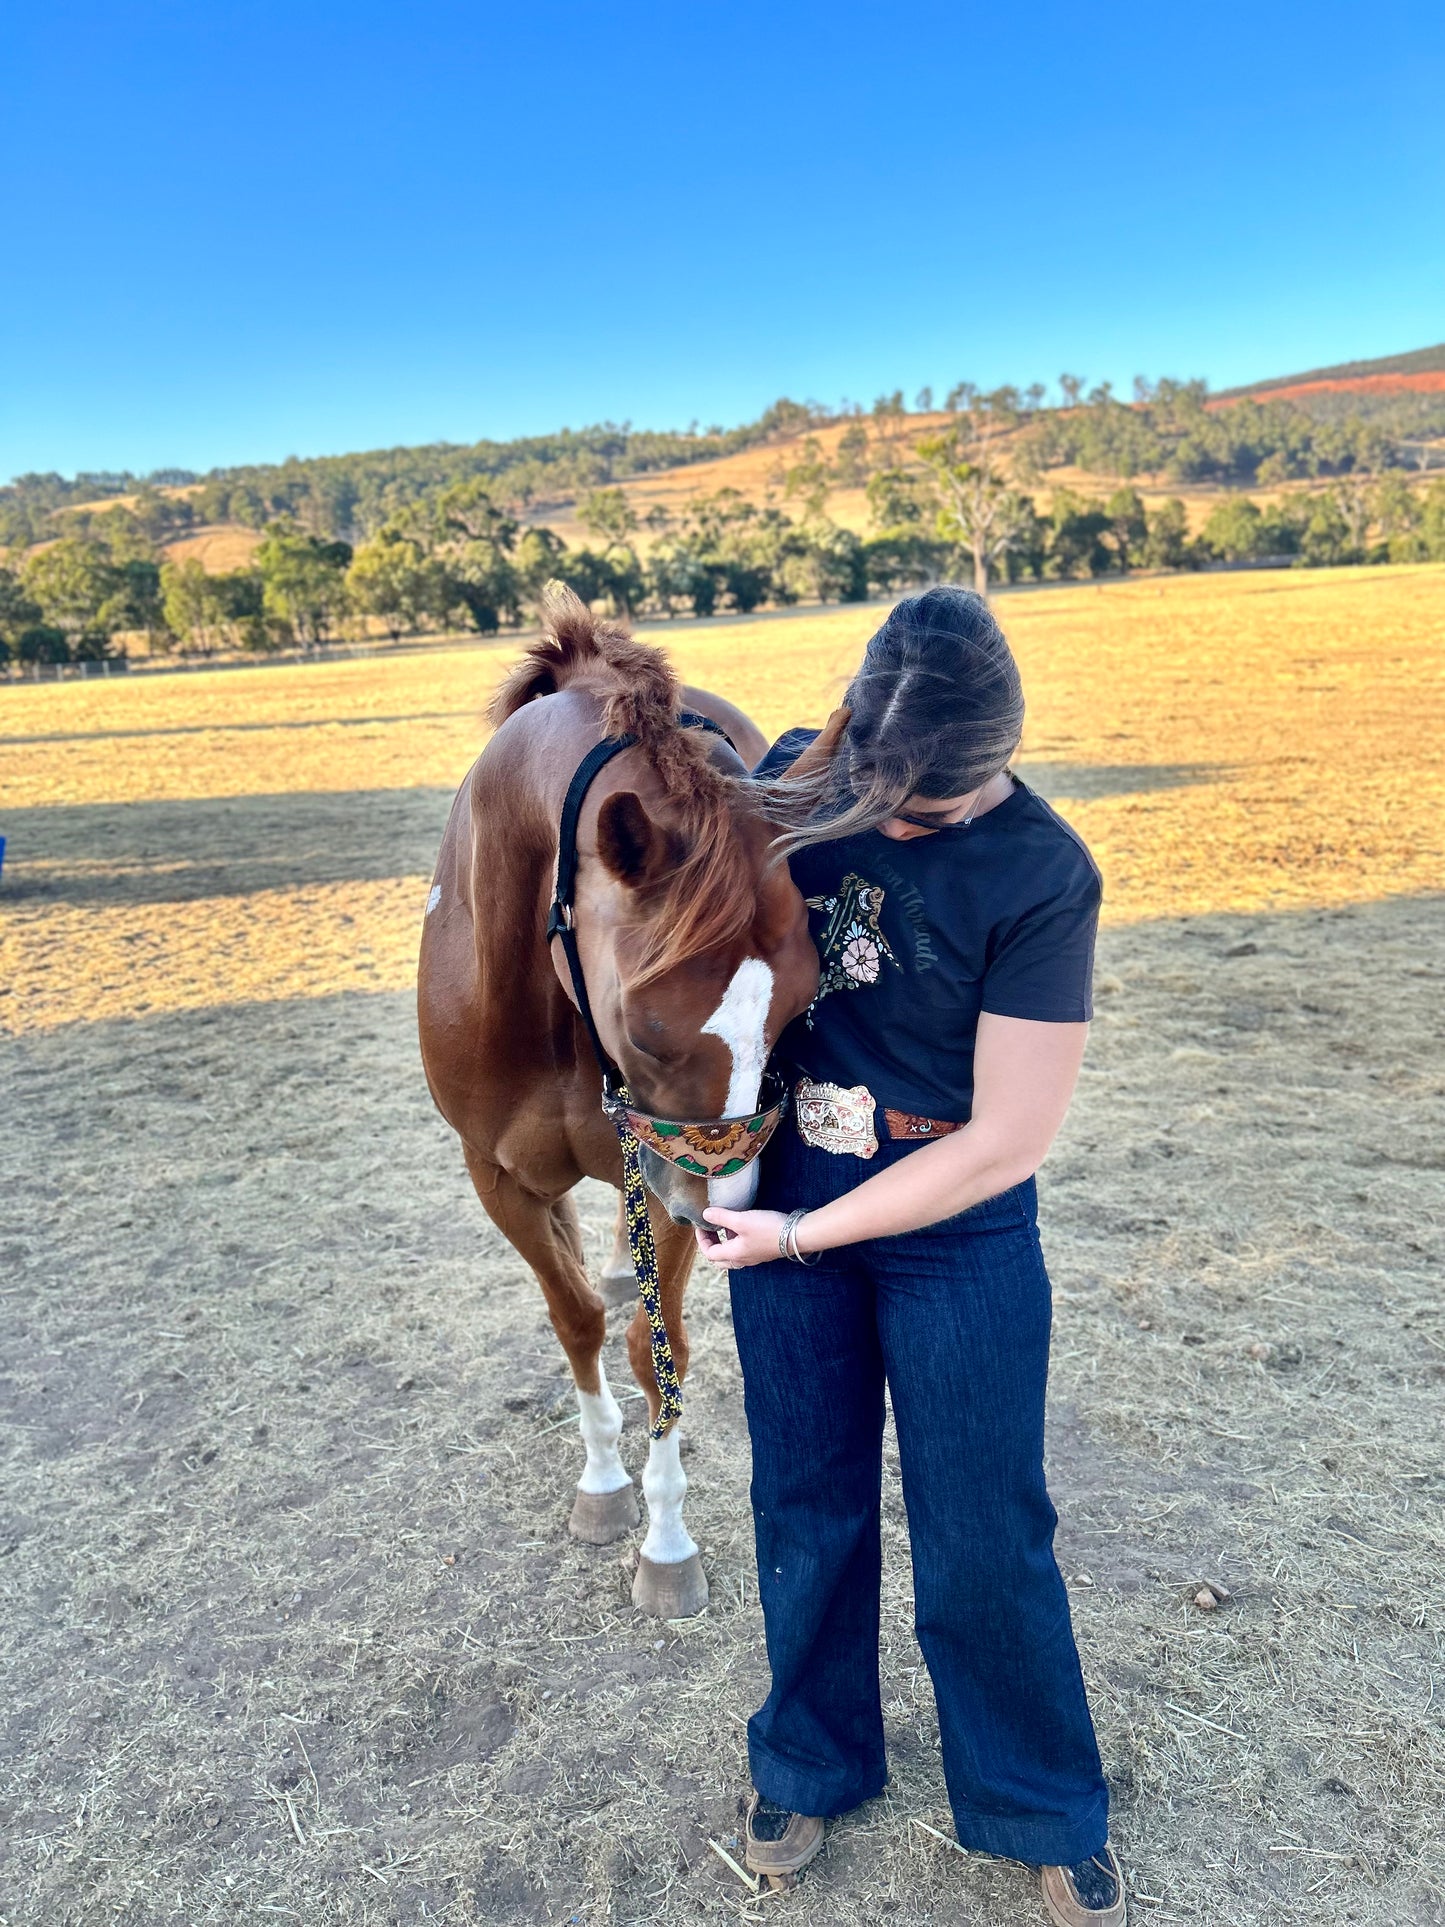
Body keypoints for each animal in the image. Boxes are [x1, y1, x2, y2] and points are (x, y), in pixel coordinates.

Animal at [423, 585, 820, 1610]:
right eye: (645, 1030)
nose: (733, 1212)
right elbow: (575, 1321)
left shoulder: (669, 1172)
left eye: (802, 1014)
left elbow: (657, 1344)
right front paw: (603, 1483)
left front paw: (666, 1541)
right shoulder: (502, 1177)